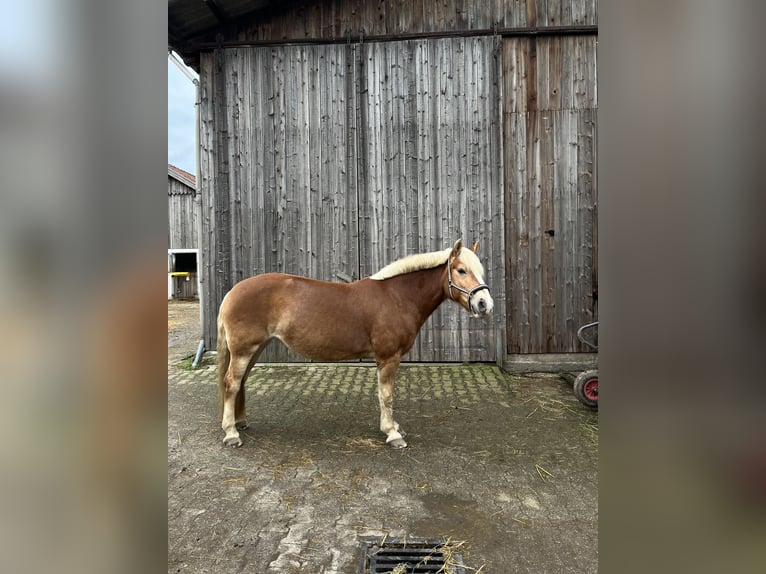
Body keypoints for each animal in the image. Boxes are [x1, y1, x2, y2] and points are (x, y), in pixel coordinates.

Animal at [216, 238, 496, 450]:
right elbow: (387, 395)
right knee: (231, 384)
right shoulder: (388, 357)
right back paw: (231, 434)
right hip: (243, 350)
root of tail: (232, 292)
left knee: (240, 382)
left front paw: (393, 427)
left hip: (255, 349)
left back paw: (240, 422)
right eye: (461, 270)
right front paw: (392, 434)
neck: (396, 297)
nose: (485, 304)